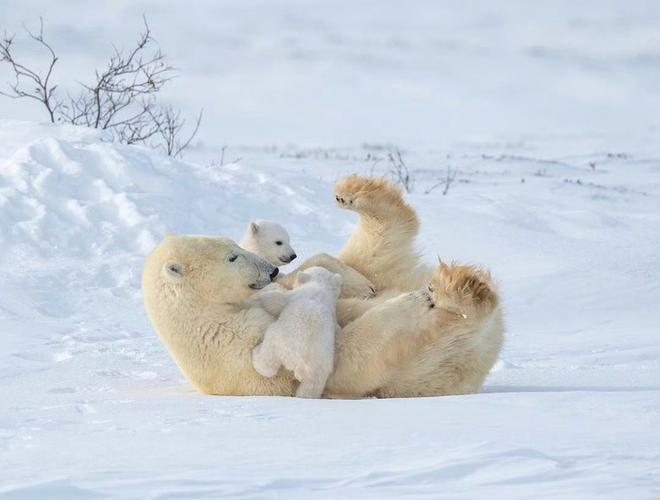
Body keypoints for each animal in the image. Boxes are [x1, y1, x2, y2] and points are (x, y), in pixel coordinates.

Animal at [250, 266, 342, 398]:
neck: (319, 287)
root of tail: (298, 363)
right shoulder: (333, 313)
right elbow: (337, 327)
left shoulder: (293, 296)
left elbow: (275, 301)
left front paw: (262, 296)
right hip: (319, 367)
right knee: (311, 388)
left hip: (277, 340)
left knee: (267, 364)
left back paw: (256, 352)